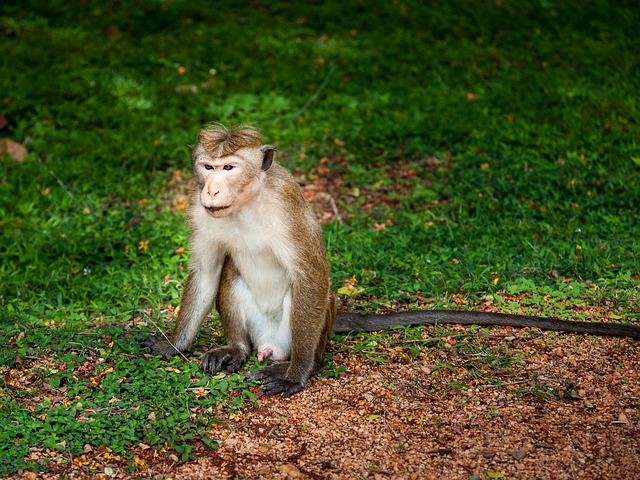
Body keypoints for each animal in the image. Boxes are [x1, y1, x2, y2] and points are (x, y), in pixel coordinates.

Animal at [144, 124, 640, 398]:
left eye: (229, 167)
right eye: (208, 167)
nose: (212, 189)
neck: (247, 201)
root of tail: (271, 344)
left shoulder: (286, 206)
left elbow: (312, 276)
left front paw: (297, 376)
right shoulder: (197, 209)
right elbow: (207, 270)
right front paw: (174, 345)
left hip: (306, 331)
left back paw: (295, 362)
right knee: (230, 272)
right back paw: (238, 349)